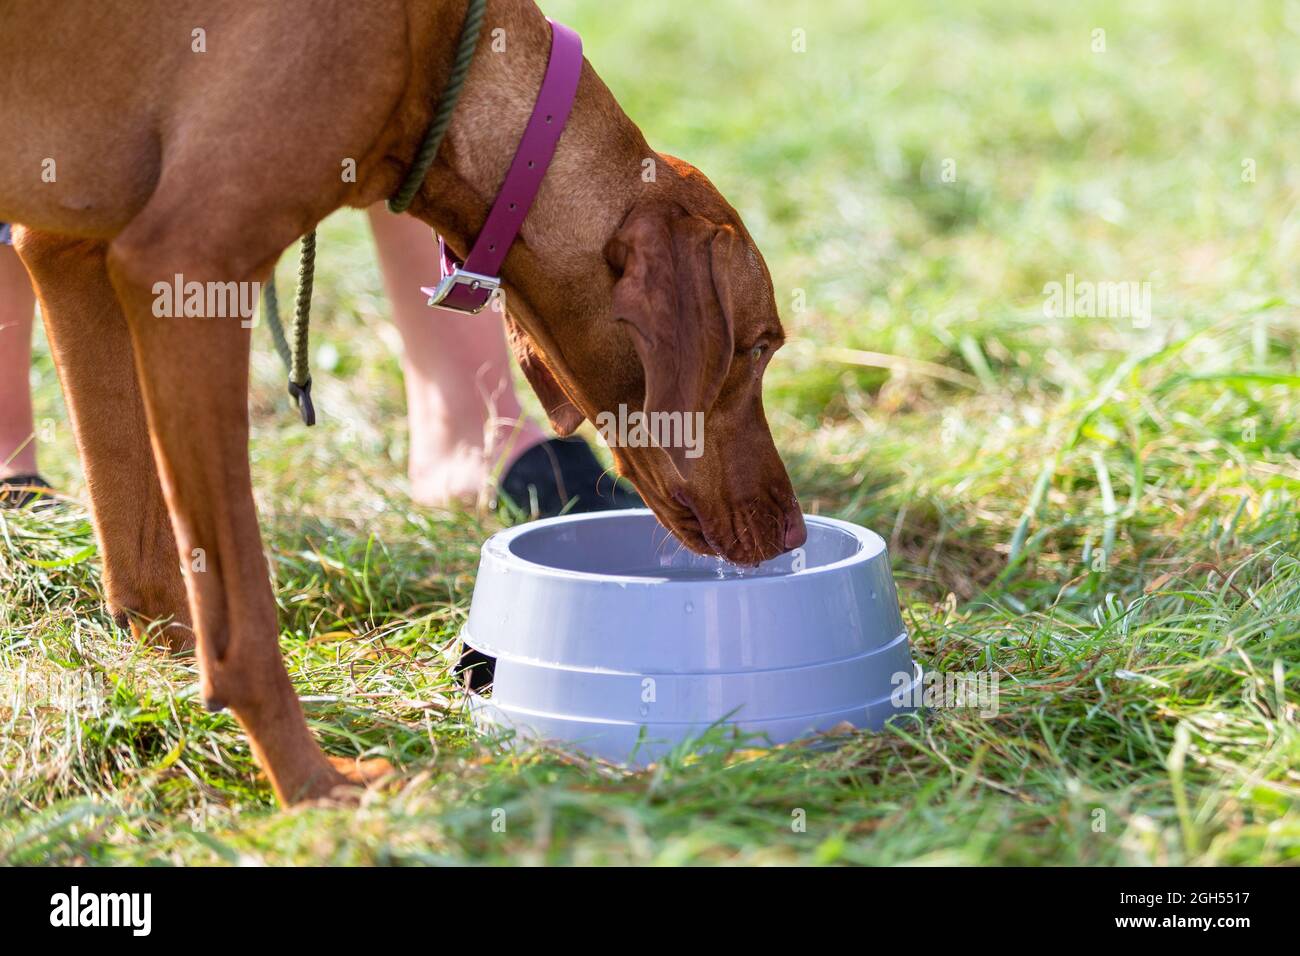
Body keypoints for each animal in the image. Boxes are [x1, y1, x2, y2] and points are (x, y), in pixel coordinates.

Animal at [0, 0, 806, 806]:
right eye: (759, 347)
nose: (796, 532)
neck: (437, 49)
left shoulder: (69, 251)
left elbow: (146, 558)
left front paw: (164, 695)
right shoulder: (186, 267)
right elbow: (244, 616)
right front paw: (315, 785)